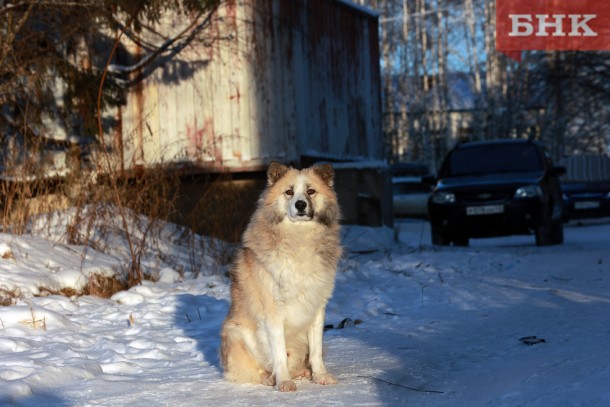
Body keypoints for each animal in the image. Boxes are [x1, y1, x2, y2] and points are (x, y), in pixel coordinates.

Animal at [220, 162, 342, 392]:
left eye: (311, 191)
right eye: (289, 192)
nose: (301, 205)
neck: (299, 239)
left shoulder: (317, 307)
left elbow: (316, 350)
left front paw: (320, 375)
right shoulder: (273, 312)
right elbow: (278, 354)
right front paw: (283, 381)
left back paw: (302, 372)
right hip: (236, 333)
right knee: (257, 370)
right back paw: (270, 378)